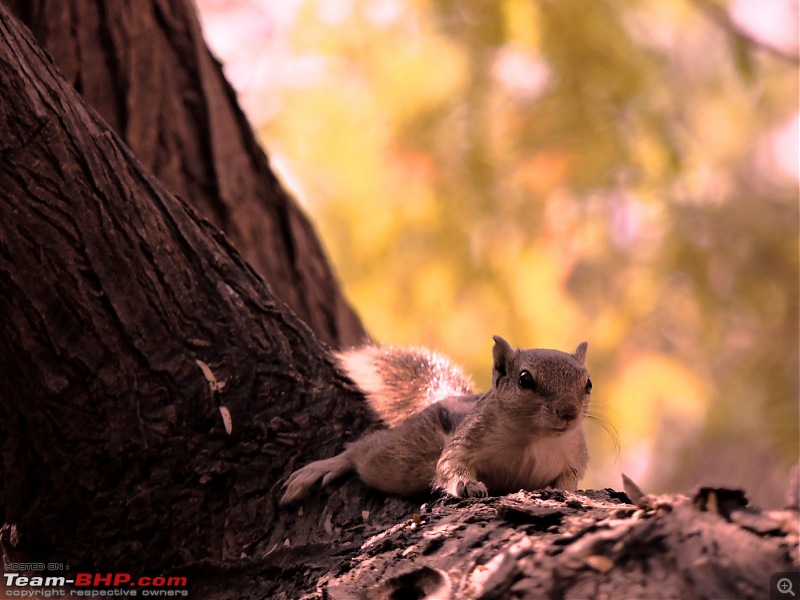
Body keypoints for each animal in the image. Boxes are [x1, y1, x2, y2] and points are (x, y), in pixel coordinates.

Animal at [278, 336, 592, 504]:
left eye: (588, 383)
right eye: (524, 379)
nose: (568, 412)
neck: (535, 437)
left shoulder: (574, 456)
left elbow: (569, 477)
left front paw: (564, 490)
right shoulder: (466, 439)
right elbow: (450, 465)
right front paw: (467, 485)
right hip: (398, 460)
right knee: (362, 451)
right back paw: (324, 466)